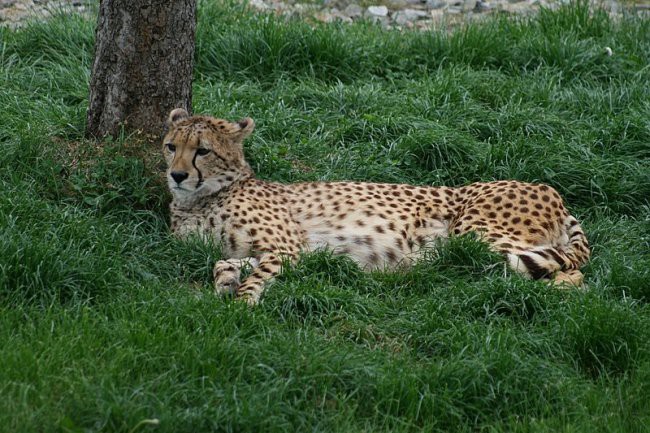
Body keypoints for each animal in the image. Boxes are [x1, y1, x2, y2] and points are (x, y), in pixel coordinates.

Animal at [162, 108, 588, 304]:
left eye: (202, 151)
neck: (200, 199)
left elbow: (258, 272)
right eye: (170, 146)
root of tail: (550, 190)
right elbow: (225, 260)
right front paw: (224, 282)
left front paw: (244, 302)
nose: (176, 175)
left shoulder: (286, 246)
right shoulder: (280, 249)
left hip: (475, 234)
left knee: (575, 273)